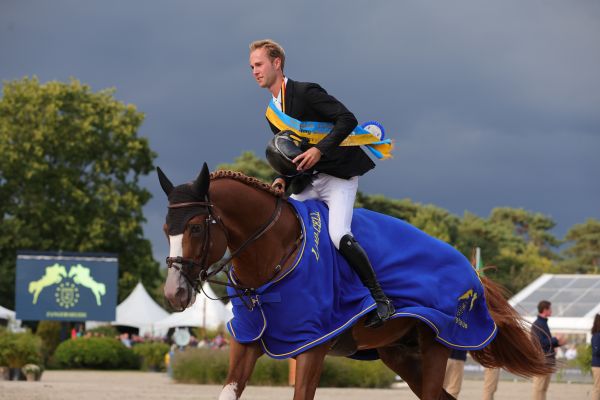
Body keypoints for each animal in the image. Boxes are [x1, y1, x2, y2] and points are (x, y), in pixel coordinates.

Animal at [158, 163, 552, 400]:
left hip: (439, 344)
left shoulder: (312, 346)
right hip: (400, 353)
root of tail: (472, 274)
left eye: (195, 228)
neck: (272, 255)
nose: (174, 293)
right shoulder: (247, 341)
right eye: (165, 229)